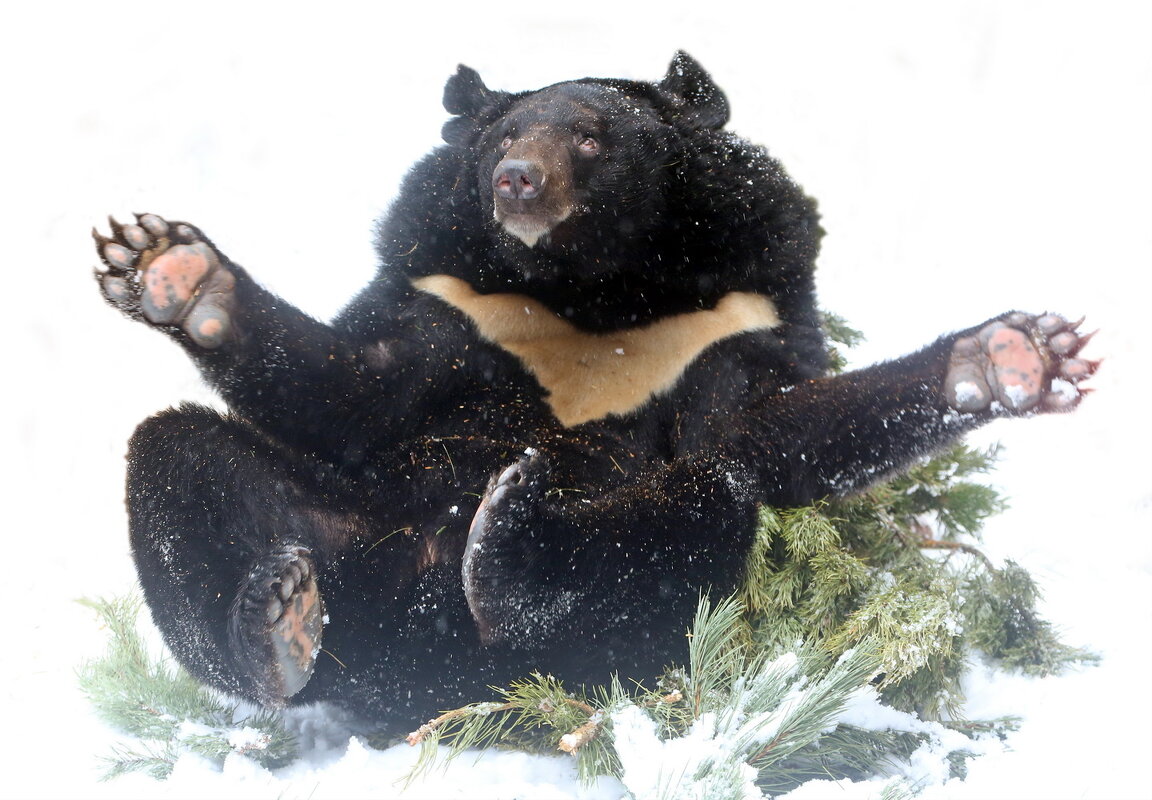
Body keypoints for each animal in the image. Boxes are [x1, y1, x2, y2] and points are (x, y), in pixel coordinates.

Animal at [96, 51, 1087, 733]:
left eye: (589, 136)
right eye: (502, 139)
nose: (516, 181)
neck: (591, 292)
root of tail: (417, 669)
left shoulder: (735, 311)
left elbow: (770, 430)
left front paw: (1007, 358)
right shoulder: (452, 296)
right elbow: (355, 391)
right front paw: (171, 268)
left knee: (701, 506)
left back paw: (507, 541)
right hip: (347, 536)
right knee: (181, 461)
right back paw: (276, 621)